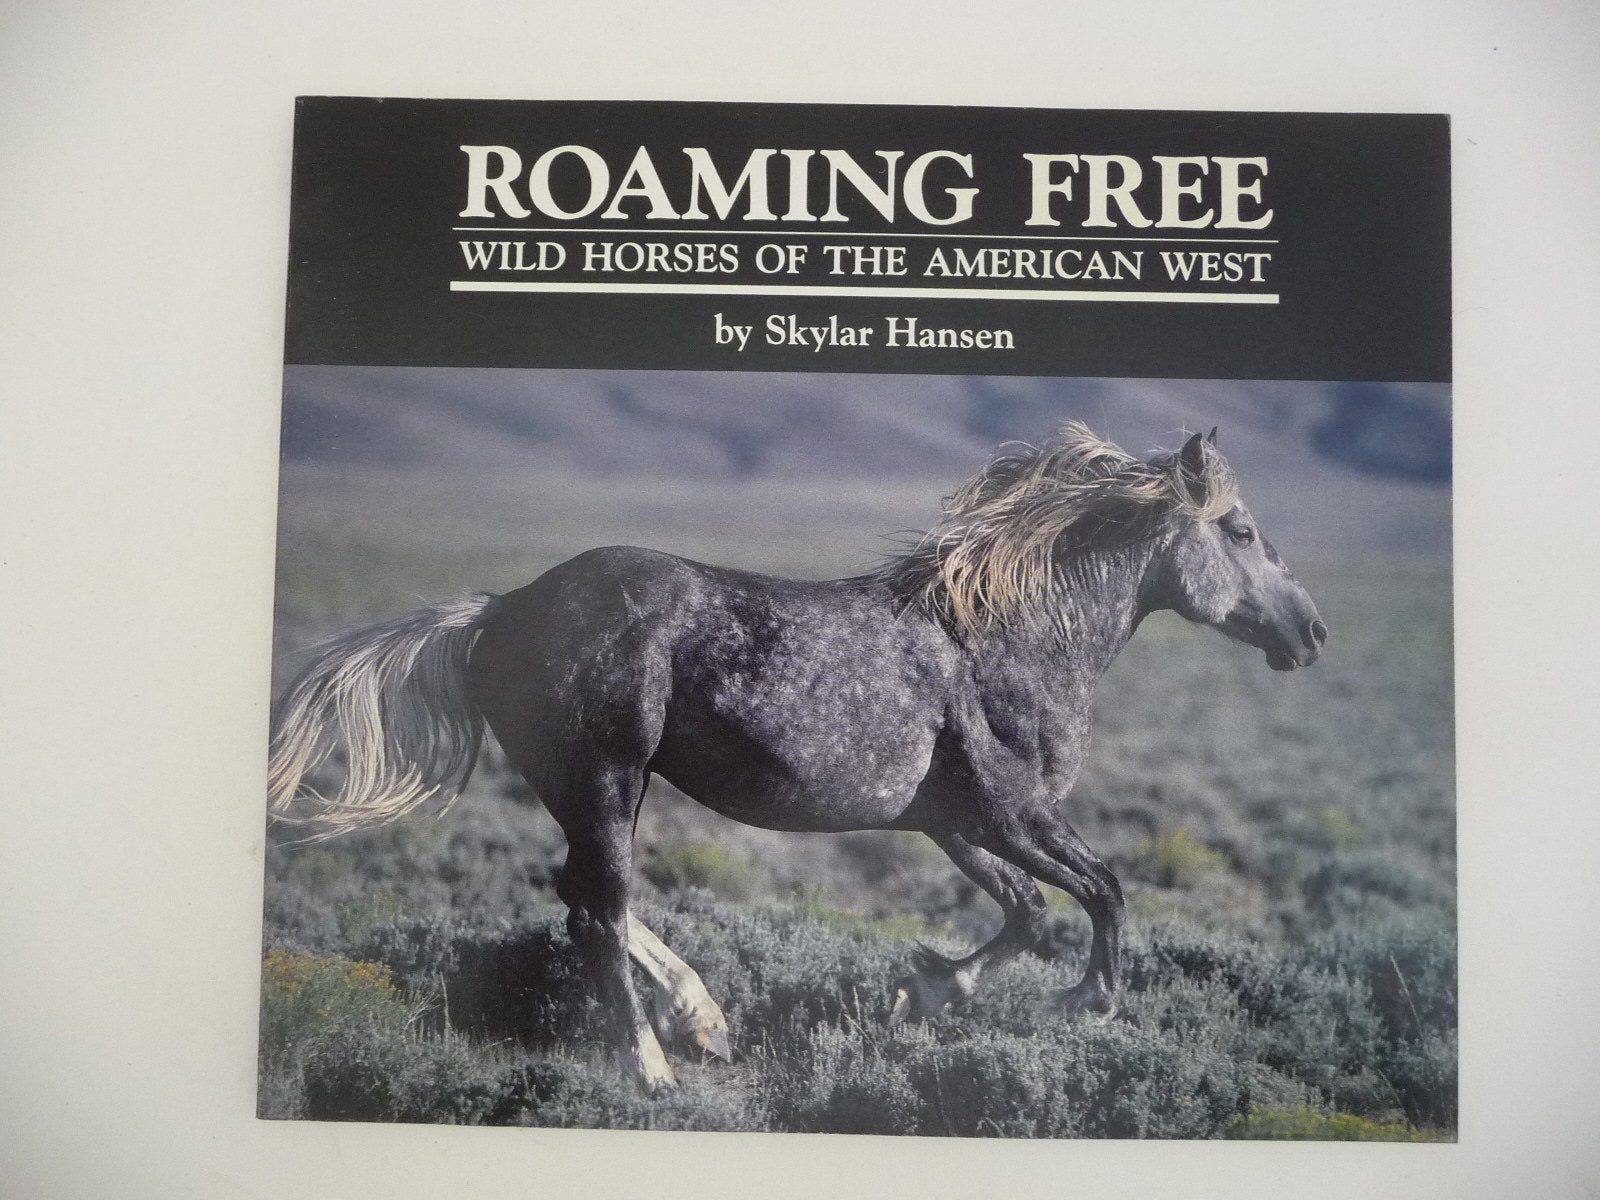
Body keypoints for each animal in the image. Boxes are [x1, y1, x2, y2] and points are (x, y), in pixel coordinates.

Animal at [268, 422, 1326, 1093]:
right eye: (1240, 530)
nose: (1311, 633)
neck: (1012, 636)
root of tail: (501, 610)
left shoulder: (954, 824)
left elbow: (1027, 913)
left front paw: (927, 988)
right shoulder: (1012, 813)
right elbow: (1104, 889)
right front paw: (1089, 1005)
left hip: (587, 790)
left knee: (577, 898)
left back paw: (704, 1018)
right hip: (606, 779)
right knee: (597, 913)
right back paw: (653, 1068)